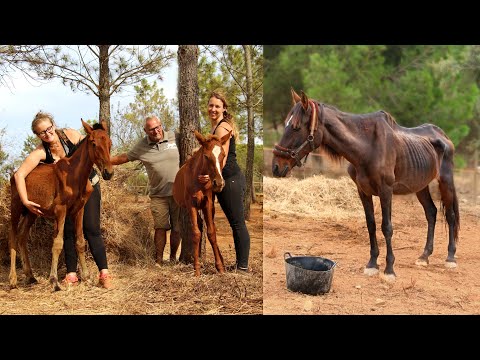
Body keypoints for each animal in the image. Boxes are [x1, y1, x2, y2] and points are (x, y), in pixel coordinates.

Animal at [8, 120, 114, 290]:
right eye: (93, 143)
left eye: (110, 143)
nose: (108, 173)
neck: (74, 175)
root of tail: (15, 174)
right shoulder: (60, 210)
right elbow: (58, 243)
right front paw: (54, 280)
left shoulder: (79, 210)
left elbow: (80, 241)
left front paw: (86, 277)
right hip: (16, 207)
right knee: (12, 236)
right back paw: (13, 279)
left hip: (32, 212)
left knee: (22, 236)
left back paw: (30, 276)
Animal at [173, 131, 232, 278]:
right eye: (206, 156)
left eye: (223, 155)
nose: (219, 183)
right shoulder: (191, 205)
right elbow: (196, 233)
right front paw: (197, 269)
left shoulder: (208, 204)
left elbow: (211, 233)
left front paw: (220, 267)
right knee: (198, 226)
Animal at [272, 89, 460, 282]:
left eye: (296, 127)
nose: (276, 166)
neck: (367, 148)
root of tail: (443, 136)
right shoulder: (363, 191)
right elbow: (371, 225)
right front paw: (372, 264)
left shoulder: (386, 191)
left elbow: (387, 227)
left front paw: (389, 269)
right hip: (420, 186)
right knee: (431, 213)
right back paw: (424, 256)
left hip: (446, 181)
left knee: (450, 215)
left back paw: (450, 257)